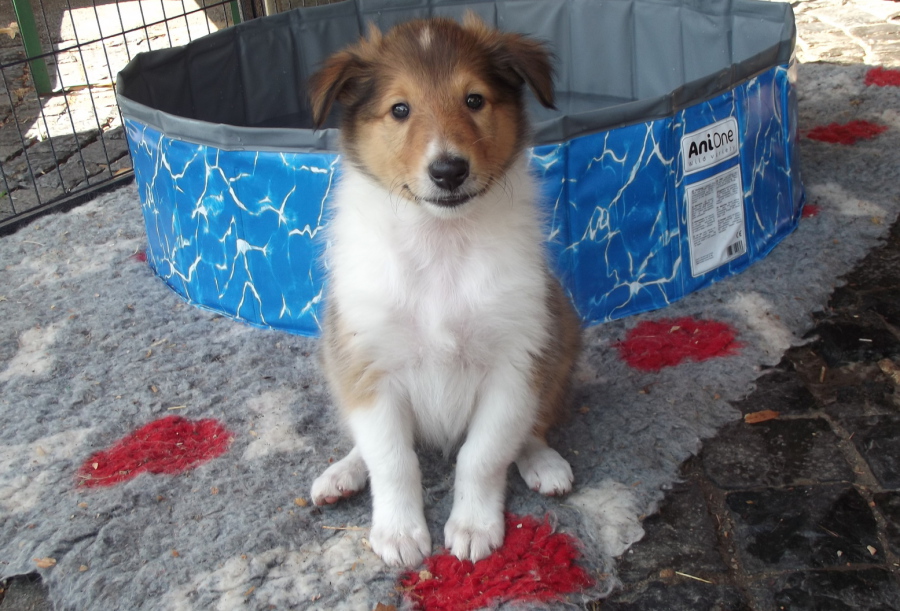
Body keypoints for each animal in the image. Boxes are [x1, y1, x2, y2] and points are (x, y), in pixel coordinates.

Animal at [307, 14, 582, 568]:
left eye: (474, 100)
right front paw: (399, 533)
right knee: (365, 443)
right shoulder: (368, 363)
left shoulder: (515, 363)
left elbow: (483, 455)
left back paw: (543, 461)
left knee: (532, 427)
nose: (448, 170)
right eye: (400, 109)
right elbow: (392, 459)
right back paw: (341, 474)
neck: (439, 241)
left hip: (562, 334)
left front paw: (473, 528)